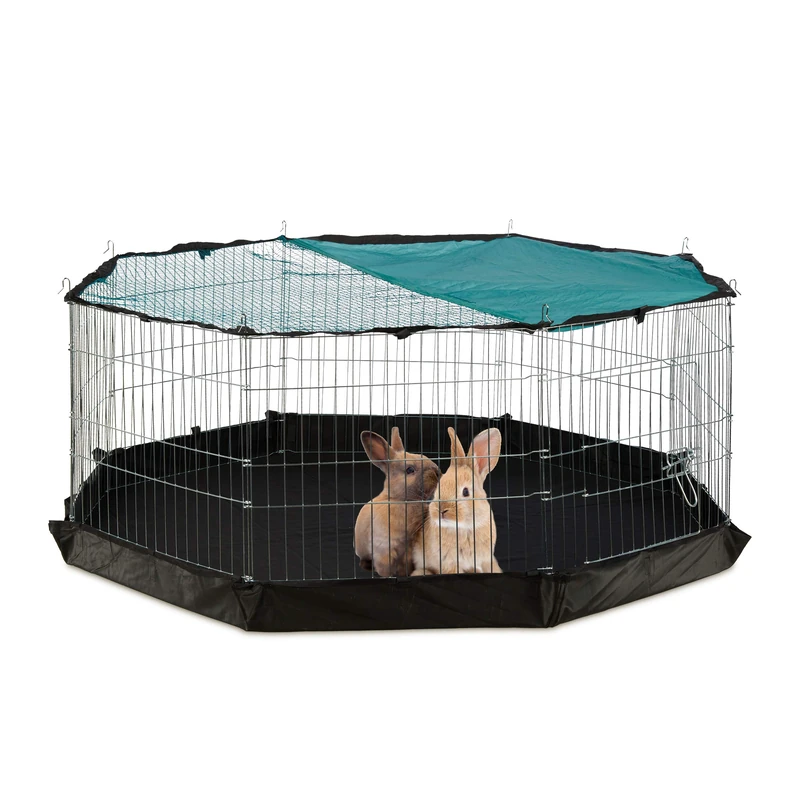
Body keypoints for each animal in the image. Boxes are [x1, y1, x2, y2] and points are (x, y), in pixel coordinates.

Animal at [354, 426, 441, 577]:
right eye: (410, 470)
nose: (437, 472)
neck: (399, 500)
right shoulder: (384, 550)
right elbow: (384, 568)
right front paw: (388, 576)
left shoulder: (409, 550)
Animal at [411, 427, 503, 575]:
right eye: (439, 486)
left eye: (465, 492)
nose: (441, 510)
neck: (464, 528)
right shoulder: (450, 564)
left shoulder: (486, 560)